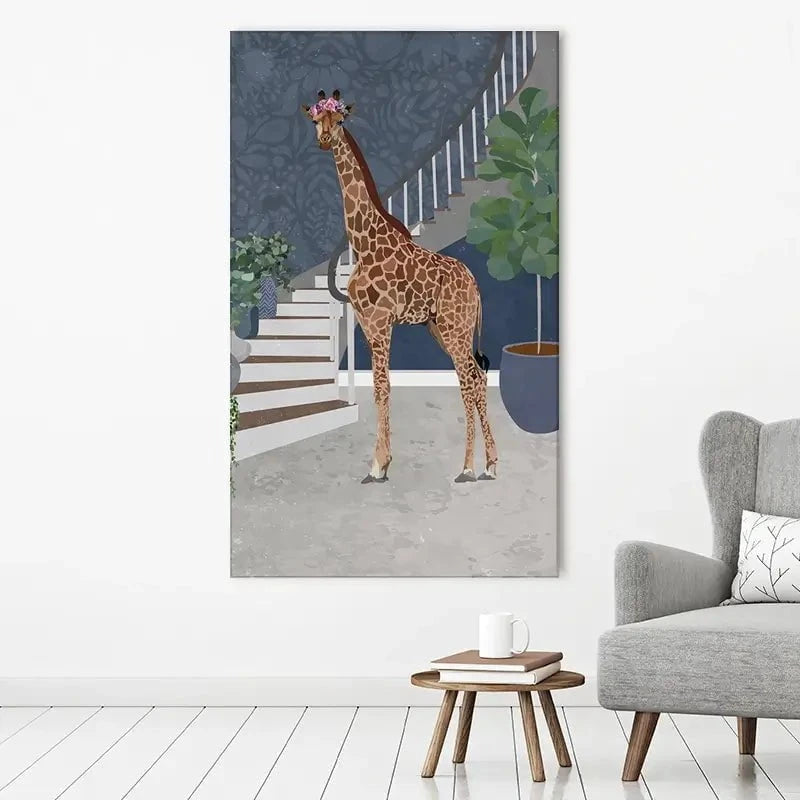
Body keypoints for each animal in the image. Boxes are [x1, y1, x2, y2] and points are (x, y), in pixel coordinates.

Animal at [302, 90, 498, 484]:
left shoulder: (380, 322)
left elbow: (382, 386)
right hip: (443, 328)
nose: (325, 139)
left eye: (340, 120)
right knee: (477, 376)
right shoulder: (366, 324)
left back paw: (468, 467)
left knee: (468, 380)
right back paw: (490, 464)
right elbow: (380, 388)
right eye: (316, 120)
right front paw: (383, 462)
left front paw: (378, 465)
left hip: (455, 328)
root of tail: (474, 284)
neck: (363, 241)